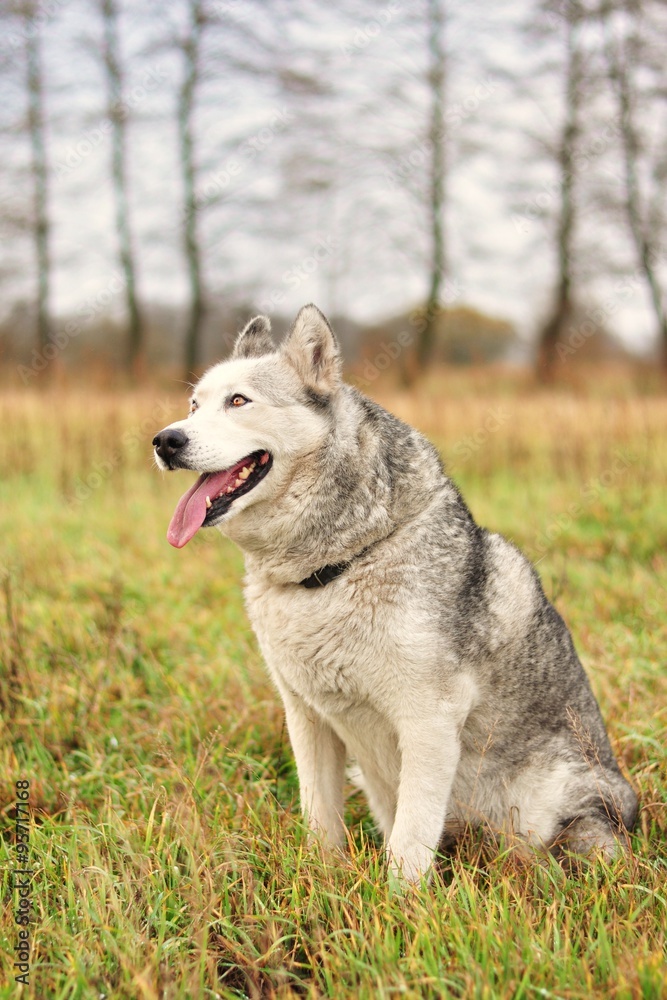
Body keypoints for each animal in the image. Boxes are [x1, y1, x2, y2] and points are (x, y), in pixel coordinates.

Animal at [154, 304, 640, 884]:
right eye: (193, 405)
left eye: (239, 401)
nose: (165, 440)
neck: (340, 563)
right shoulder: (307, 717)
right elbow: (321, 818)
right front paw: (323, 880)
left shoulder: (429, 721)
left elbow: (409, 844)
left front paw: (400, 903)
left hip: (559, 809)